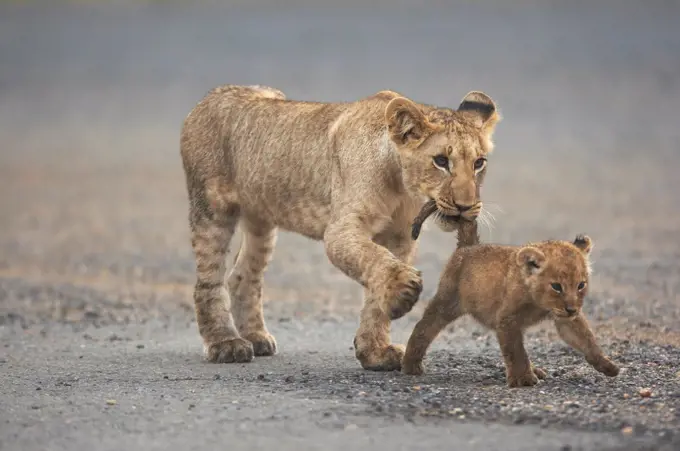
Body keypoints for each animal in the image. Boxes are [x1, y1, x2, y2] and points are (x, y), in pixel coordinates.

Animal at [179, 84, 500, 370]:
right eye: (441, 161)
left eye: (479, 163)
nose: (465, 206)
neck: (400, 184)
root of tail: (208, 97)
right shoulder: (340, 231)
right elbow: (377, 261)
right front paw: (402, 293)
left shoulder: (399, 237)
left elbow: (375, 289)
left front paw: (375, 351)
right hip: (212, 209)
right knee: (208, 281)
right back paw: (225, 343)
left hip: (261, 218)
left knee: (242, 275)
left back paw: (256, 338)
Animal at [404, 230, 620, 388]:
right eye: (557, 286)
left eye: (581, 285)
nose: (572, 309)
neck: (539, 302)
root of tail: (468, 245)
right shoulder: (507, 320)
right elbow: (516, 352)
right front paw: (524, 379)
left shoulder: (564, 319)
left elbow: (585, 338)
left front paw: (607, 365)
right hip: (448, 301)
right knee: (424, 326)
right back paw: (410, 364)